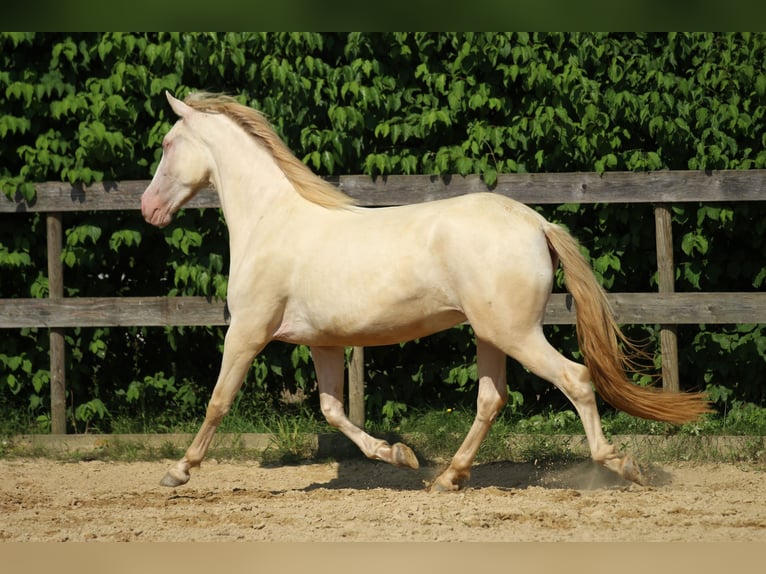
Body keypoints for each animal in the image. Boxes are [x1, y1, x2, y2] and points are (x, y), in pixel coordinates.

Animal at [141, 92, 712, 492]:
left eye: (167, 145)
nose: (148, 209)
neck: (270, 221)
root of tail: (536, 223)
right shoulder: (323, 342)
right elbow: (333, 410)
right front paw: (399, 456)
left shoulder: (247, 331)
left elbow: (218, 400)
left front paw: (178, 471)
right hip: (491, 334)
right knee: (492, 399)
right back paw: (448, 477)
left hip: (516, 333)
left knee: (574, 378)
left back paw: (620, 465)